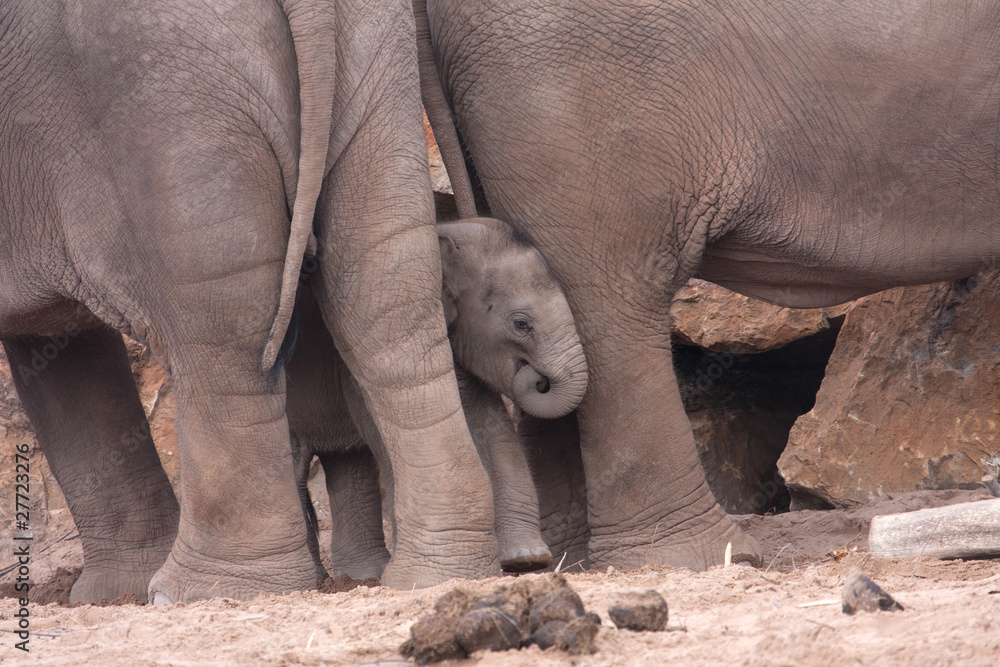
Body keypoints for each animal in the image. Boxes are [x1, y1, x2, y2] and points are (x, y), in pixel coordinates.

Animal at [1, 0, 501, 604]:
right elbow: (62, 361)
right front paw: (110, 593)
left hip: (167, 102)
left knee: (220, 329)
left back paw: (204, 590)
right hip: (377, 73)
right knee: (386, 290)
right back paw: (436, 575)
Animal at [287, 216, 587, 578]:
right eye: (521, 324)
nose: (539, 379)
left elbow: (492, 426)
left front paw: (527, 559)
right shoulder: (358, 360)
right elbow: (382, 431)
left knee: (344, 463)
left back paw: (361, 577)